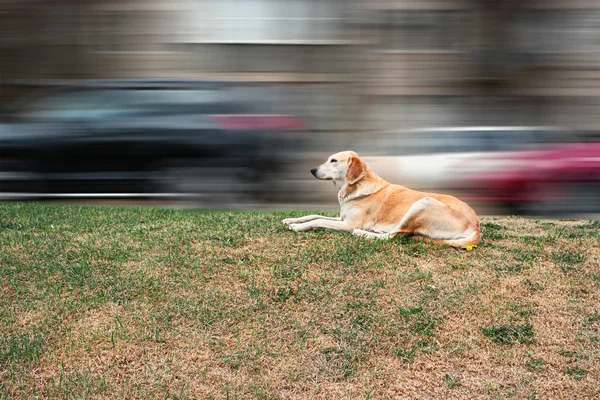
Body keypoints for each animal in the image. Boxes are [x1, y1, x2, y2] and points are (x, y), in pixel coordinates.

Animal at [282, 151, 482, 250]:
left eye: (333, 161)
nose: (312, 170)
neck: (355, 186)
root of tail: (476, 225)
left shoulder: (348, 223)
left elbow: (318, 221)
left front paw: (297, 227)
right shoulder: (342, 218)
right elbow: (313, 215)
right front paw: (290, 220)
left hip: (423, 202)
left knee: (394, 235)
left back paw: (363, 234)